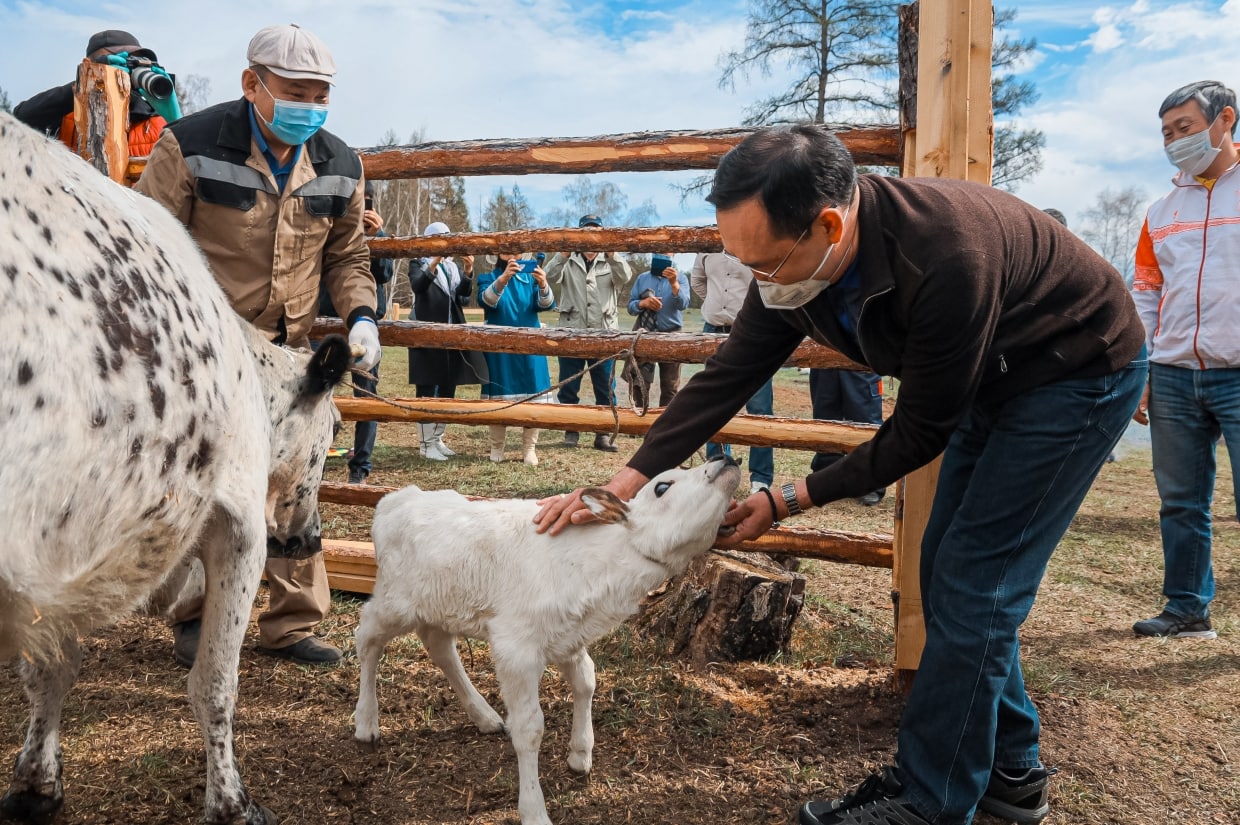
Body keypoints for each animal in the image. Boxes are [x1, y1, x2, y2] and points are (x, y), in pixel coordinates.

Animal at [1, 111, 349, 823]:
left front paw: (35, 781)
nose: (309, 540)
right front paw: (232, 801)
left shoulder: (54, 562)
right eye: (331, 433)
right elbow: (214, 682)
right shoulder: (238, 526)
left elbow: (50, 670)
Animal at [354, 456, 739, 823]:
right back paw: (366, 722)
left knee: (439, 646)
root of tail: (397, 499)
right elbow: (529, 728)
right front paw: (534, 810)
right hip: (394, 600)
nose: (726, 460)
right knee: (367, 636)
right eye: (662, 486)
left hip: (438, 603)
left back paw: (484, 716)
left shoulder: (569, 636)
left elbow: (586, 681)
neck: (599, 561)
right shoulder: (516, 646)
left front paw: (580, 753)